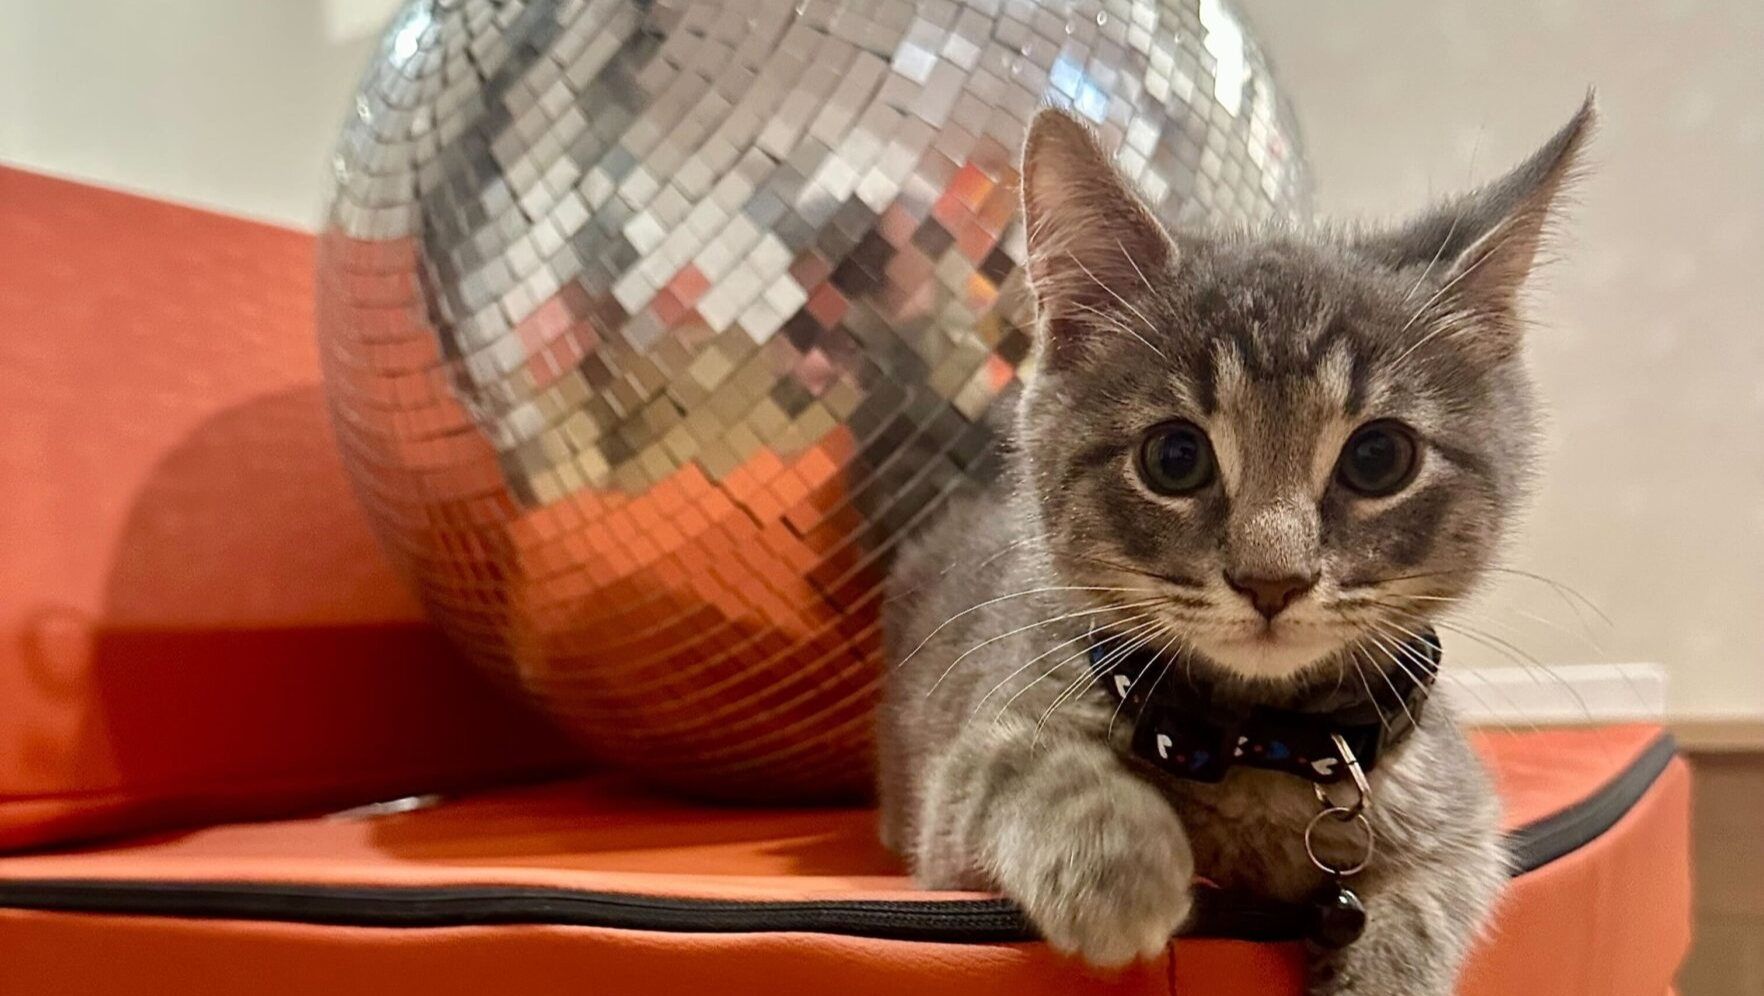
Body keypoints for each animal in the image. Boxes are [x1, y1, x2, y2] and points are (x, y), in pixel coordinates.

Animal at [877, 96, 1594, 996]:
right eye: (1175, 458)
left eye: (1378, 458)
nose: (1271, 579)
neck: (1265, 744)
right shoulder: (958, 791)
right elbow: (1016, 765)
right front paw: (1126, 869)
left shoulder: (1458, 812)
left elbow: (1435, 895)